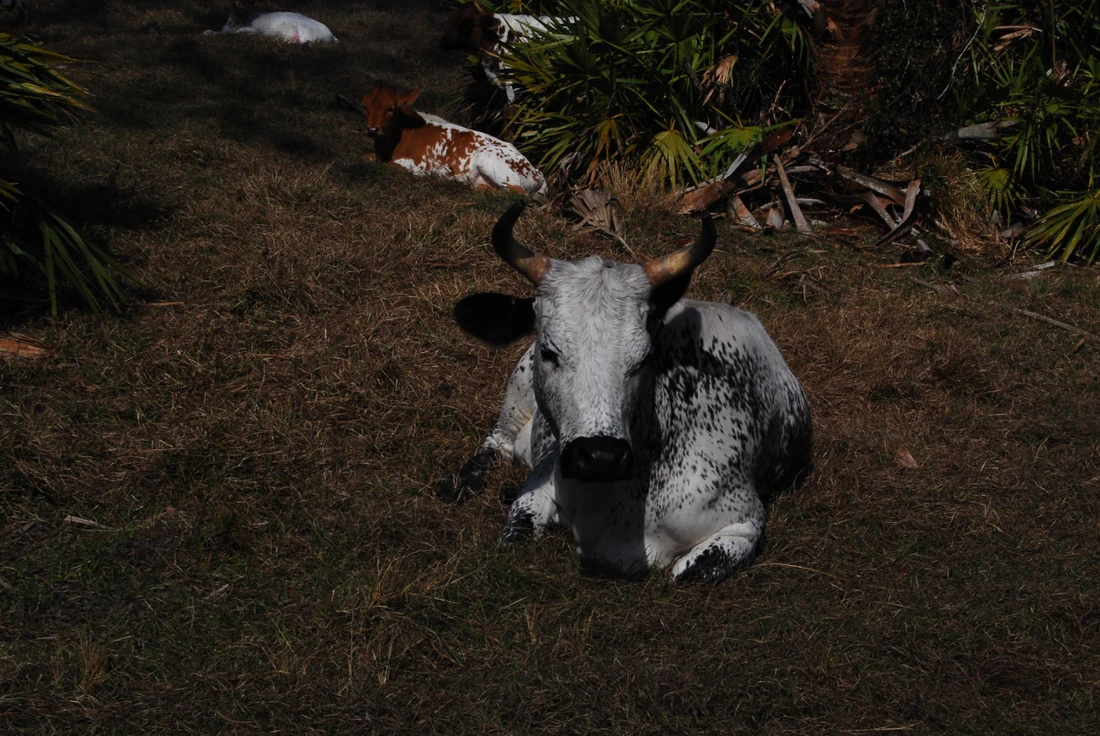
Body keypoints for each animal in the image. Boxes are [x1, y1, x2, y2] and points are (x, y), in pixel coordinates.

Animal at [204, 1, 337, 44]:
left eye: (249, 4)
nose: (240, 13)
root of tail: (332, 36)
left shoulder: (252, 29)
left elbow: (237, 32)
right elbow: (218, 32)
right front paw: (206, 33)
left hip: (306, 30)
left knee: (305, 42)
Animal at [358, 85, 547, 195]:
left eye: (391, 108)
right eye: (364, 107)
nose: (372, 129)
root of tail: (538, 172)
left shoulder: (420, 165)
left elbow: (390, 166)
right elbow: (366, 158)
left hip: (489, 158)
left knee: (517, 191)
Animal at [439, 202, 813, 583]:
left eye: (644, 357)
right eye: (549, 351)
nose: (600, 456)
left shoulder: (744, 522)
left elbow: (687, 572)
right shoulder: (540, 484)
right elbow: (516, 533)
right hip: (516, 391)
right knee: (496, 442)